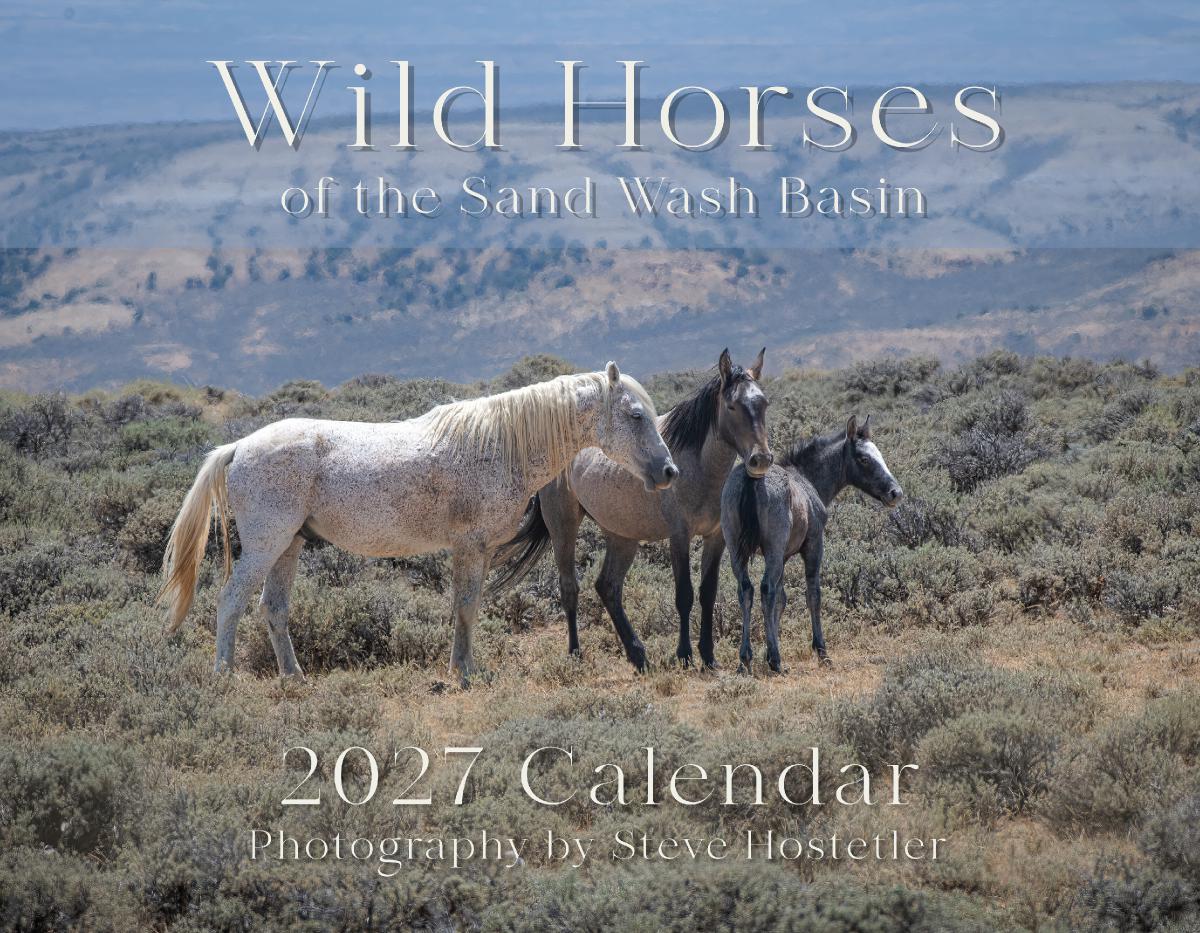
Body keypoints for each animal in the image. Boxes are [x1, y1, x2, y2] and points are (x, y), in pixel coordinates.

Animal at [159, 363, 677, 683]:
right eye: (635, 415)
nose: (668, 471)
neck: (500, 445)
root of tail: (238, 447)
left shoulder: (478, 551)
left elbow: (467, 607)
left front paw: (465, 666)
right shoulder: (469, 546)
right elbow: (465, 607)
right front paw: (463, 673)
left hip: (289, 546)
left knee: (274, 608)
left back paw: (295, 676)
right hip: (267, 545)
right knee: (231, 601)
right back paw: (224, 674)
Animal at [493, 349, 772, 671]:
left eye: (763, 403)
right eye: (732, 406)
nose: (761, 459)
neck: (700, 468)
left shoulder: (716, 538)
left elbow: (707, 593)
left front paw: (708, 656)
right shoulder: (679, 536)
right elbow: (685, 595)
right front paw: (685, 655)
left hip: (621, 536)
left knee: (607, 586)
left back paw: (637, 654)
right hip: (562, 525)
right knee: (570, 588)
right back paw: (575, 653)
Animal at [721, 415, 903, 673]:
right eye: (864, 459)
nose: (895, 493)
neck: (807, 479)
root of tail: (750, 478)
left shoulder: (783, 556)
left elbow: (782, 599)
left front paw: (768, 648)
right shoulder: (813, 544)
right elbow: (813, 594)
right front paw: (821, 651)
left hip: (736, 549)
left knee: (746, 590)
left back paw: (745, 659)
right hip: (773, 548)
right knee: (766, 589)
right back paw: (776, 660)